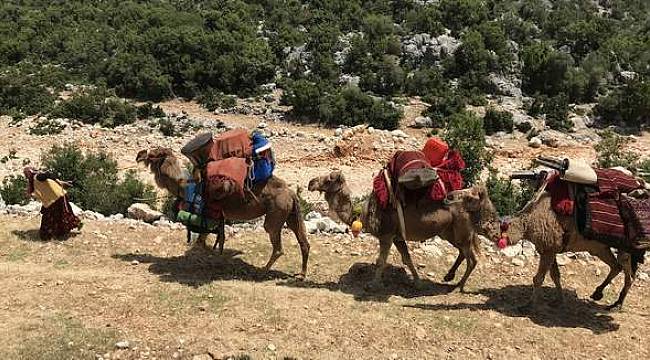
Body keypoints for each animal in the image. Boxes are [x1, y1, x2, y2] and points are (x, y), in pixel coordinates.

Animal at [134, 146, 308, 278]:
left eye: (154, 154)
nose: (139, 155)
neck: (186, 187)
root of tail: (291, 193)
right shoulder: (215, 218)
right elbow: (210, 241)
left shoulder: (208, 215)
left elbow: (203, 243)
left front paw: (213, 260)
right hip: (290, 213)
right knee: (303, 242)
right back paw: (302, 274)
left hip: (276, 212)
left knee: (277, 245)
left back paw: (262, 271)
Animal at [306, 170, 494, 292]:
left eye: (329, 180)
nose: (310, 183)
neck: (365, 214)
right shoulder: (397, 237)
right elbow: (407, 259)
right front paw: (418, 283)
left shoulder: (386, 235)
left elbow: (381, 261)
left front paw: (372, 285)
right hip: (449, 232)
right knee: (463, 252)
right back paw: (449, 276)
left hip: (460, 231)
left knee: (472, 259)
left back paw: (458, 287)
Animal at [480, 191, 636, 312]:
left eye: (489, 228)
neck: (528, 223)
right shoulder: (550, 249)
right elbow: (555, 275)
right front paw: (559, 300)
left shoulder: (548, 250)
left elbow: (538, 278)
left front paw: (528, 305)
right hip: (599, 248)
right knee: (616, 266)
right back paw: (599, 295)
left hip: (624, 246)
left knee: (627, 270)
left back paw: (617, 305)